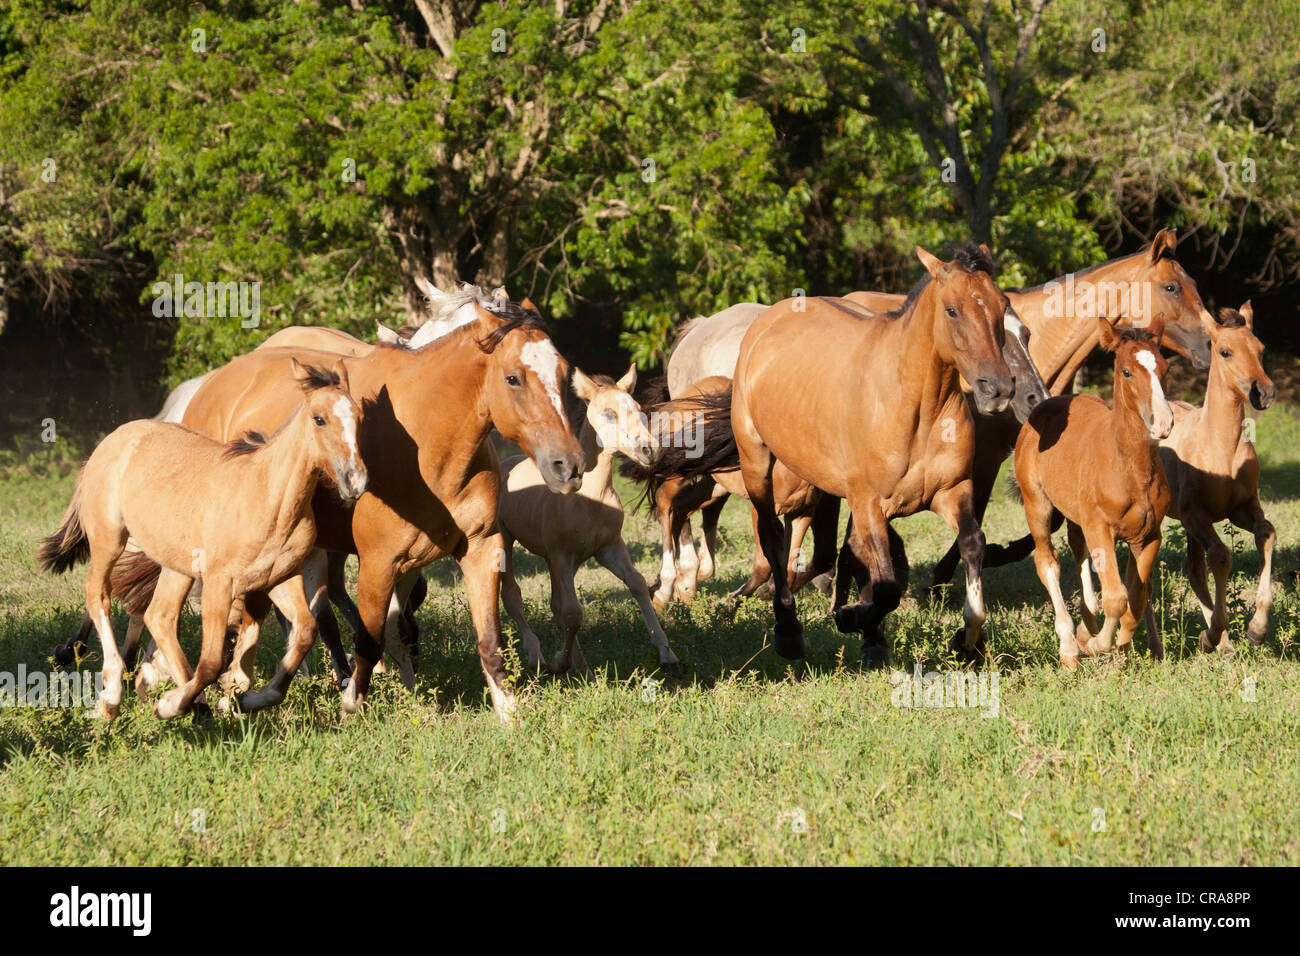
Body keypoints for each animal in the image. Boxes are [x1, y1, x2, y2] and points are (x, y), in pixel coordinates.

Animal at [38, 358, 366, 719]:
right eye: (319, 419)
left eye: (359, 417)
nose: (355, 481)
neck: (268, 497)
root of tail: (113, 439)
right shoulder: (219, 583)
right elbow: (210, 662)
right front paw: (170, 704)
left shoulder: (280, 577)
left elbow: (305, 632)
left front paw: (248, 699)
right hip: (110, 539)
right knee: (98, 593)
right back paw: (112, 696)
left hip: (175, 565)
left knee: (159, 616)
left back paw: (191, 703)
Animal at [497, 365, 679, 675]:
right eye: (609, 413)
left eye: (639, 409)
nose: (649, 450)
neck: (590, 497)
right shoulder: (561, 555)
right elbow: (572, 612)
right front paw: (561, 661)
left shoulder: (608, 547)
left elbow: (637, 583)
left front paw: (666, 652)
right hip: (507, 542)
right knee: (513, 596)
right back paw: (538, 656)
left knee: (555, 603)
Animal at [639, 244, 1016, 666]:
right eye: (952, 309)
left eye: (1002, 305)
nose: (998, 388)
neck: (917, 409)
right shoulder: (868, 502)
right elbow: (884, 583)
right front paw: (853, 619)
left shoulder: (951, 492)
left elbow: (970, 546)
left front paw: (967, 639)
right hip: (756, 465)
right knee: (769, 539)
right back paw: (786, 631)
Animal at [1014, 322, 1173, 668]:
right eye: (1127, 371)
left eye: (1164, 367)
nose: (1163, 422)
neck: (1130, 467)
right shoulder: (1100, 527)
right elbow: (1116, 597)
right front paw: (1101, 644)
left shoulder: (1149, 536)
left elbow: (1137, 597)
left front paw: (1123, 646)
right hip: (1037, 505)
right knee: (1047, 561)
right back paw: (1070, 647)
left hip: (1076, 514)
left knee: (1078, 549)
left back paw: (1086, 629)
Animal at [1141, 303, 1276, 655]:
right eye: (1225, 351)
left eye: (1261, 348)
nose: (1264, 392)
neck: (1221, 447)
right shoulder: (1194, 515)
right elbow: (1221, 556)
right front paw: (1212, 633)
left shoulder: (1243, 508)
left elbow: (1266, 535)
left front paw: (1255, 630)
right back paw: (1158, 647)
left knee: (1194, 570)